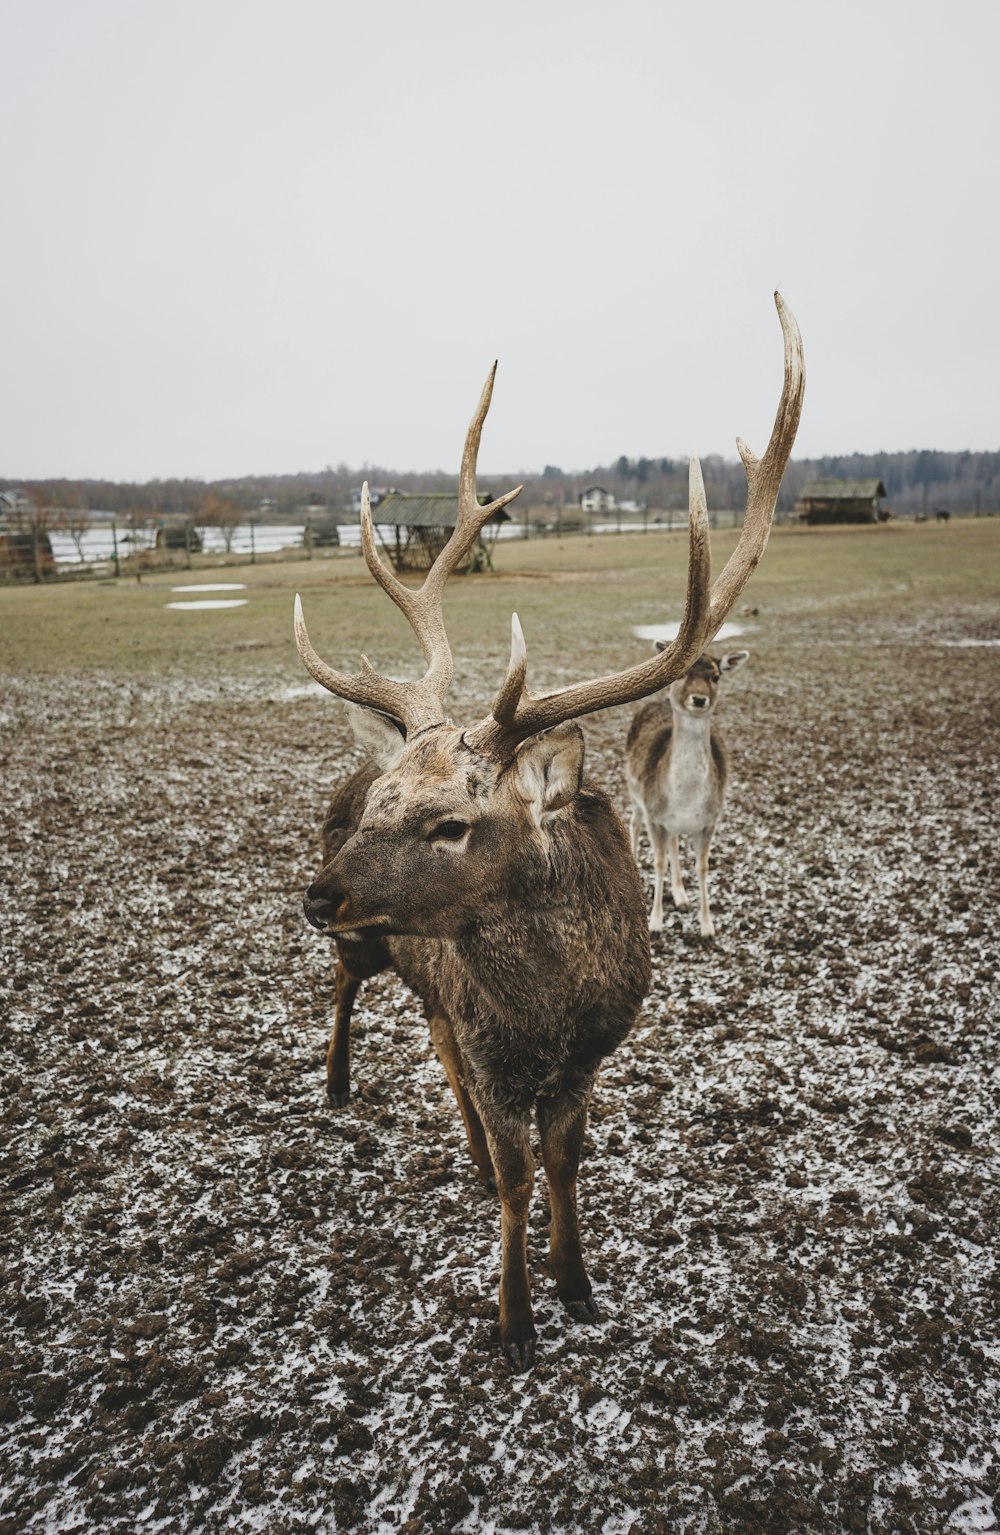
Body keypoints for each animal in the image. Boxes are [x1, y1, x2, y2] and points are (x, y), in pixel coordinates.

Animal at [626, 644, 749, 933]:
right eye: (682, 674)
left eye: (716, 676)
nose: (699, 699)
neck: (686, 797)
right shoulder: (654, 816)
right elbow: (659, 863)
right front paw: (655, 922)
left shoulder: (709, 821)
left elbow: (702, 867)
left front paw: (707, 926)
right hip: (634, 793)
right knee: (633, 823)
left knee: (673, 842)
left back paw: (681, 895)